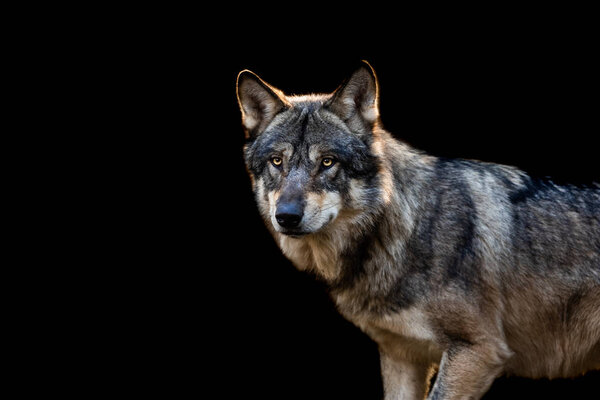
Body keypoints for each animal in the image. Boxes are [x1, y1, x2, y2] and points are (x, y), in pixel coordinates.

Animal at [236, 61, 600, 398]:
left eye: (327, 162)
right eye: (277, 162)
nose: (286, 216)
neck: (404, 230)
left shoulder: (478, 351)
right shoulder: (401, 355)